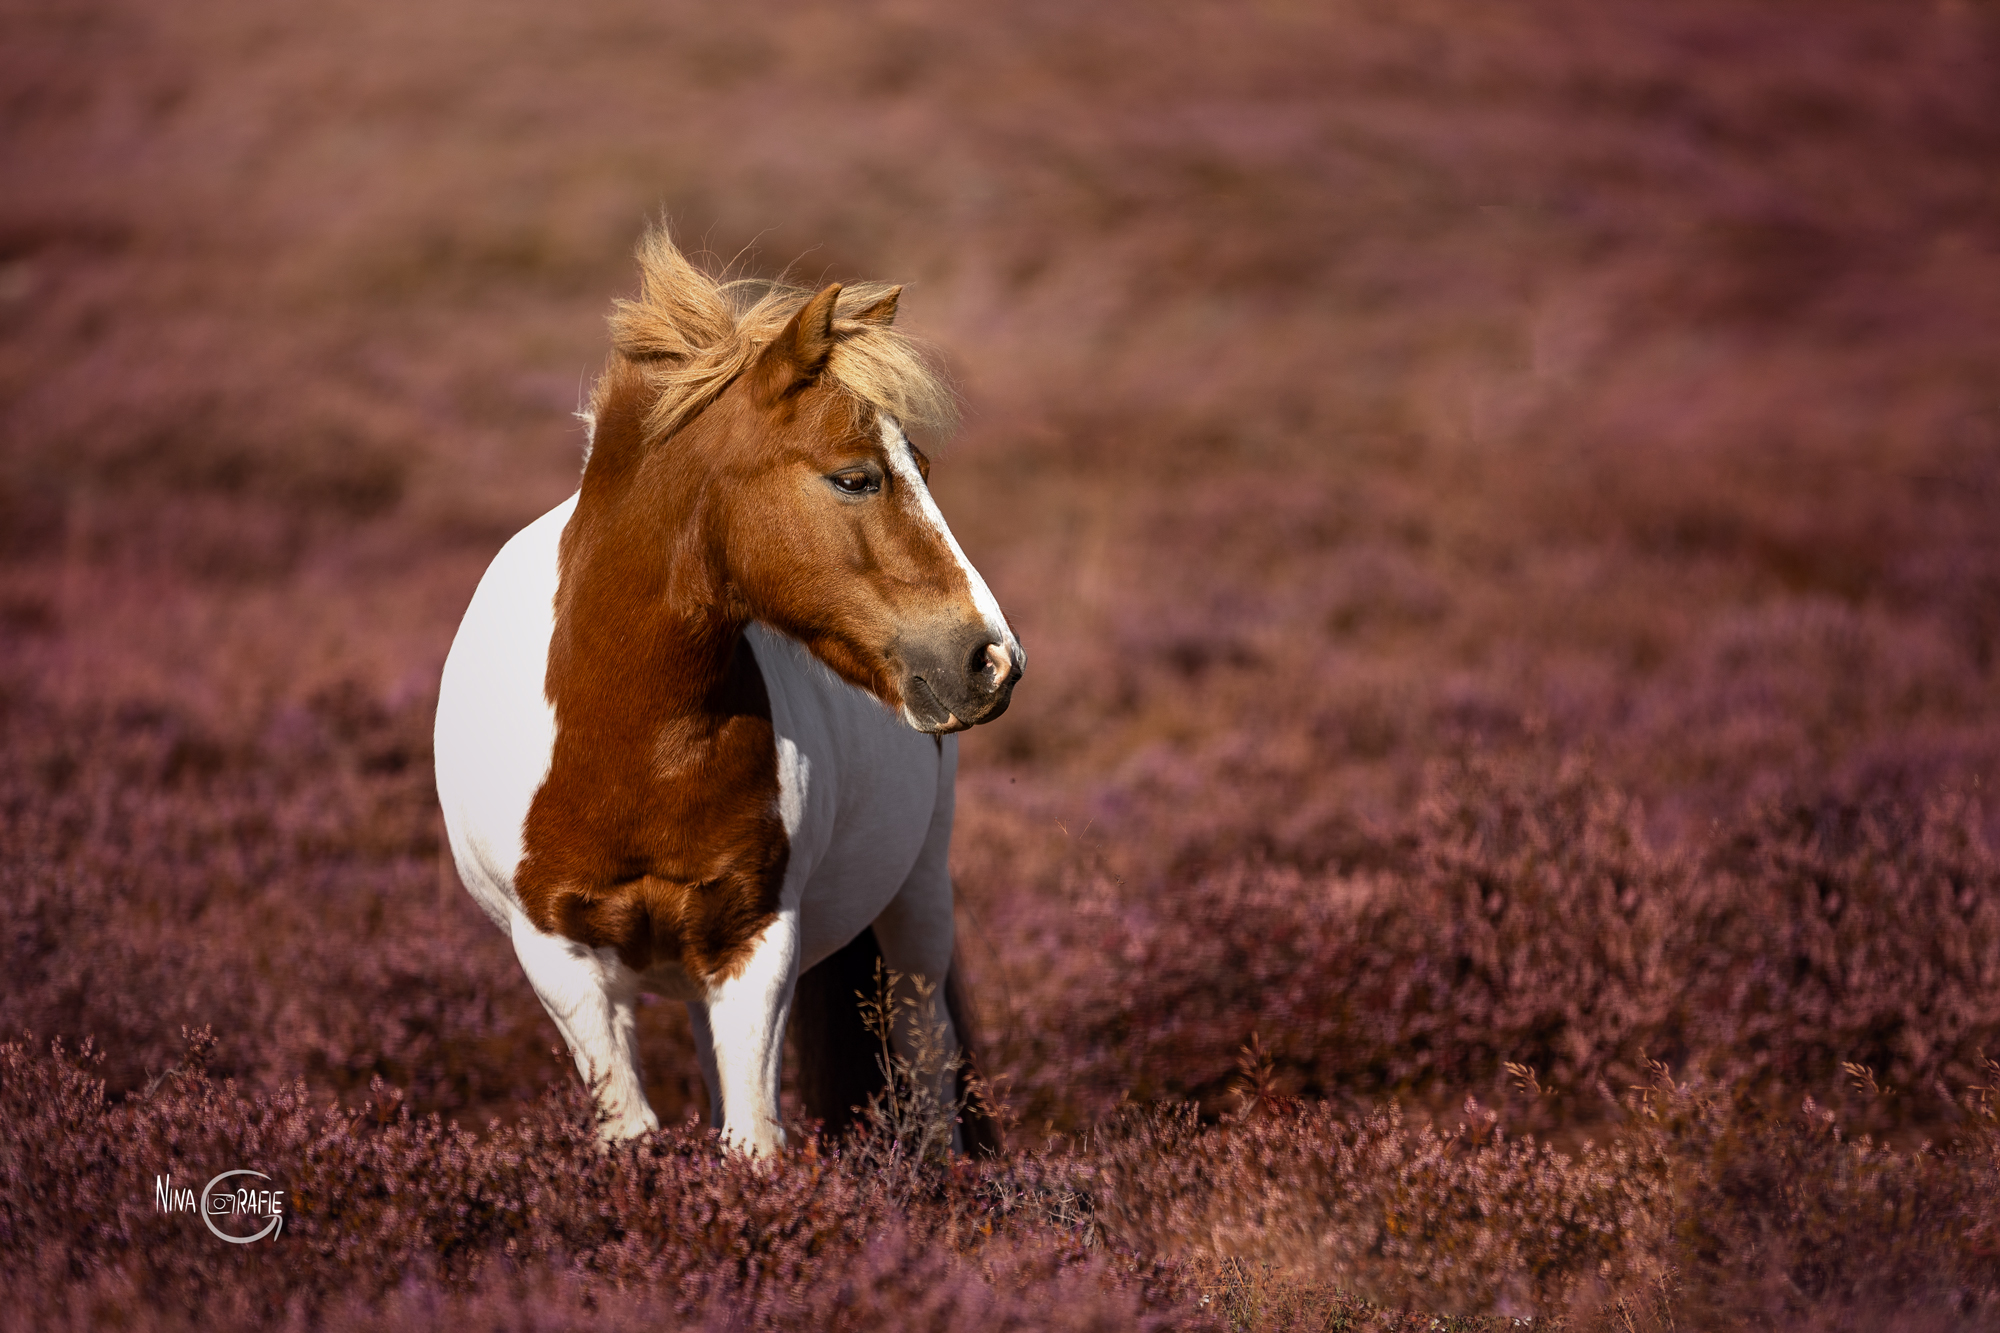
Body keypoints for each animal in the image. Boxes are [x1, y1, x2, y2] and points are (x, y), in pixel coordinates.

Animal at [434, 229, 1022, 1157]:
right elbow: (635, 1131)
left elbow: (754, 1143)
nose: (991, 658)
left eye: (922, 466)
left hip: (918, 894)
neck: (623, 739)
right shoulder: (560, 960)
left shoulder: (756, 938)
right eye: (856, 477)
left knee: (927, 1051)